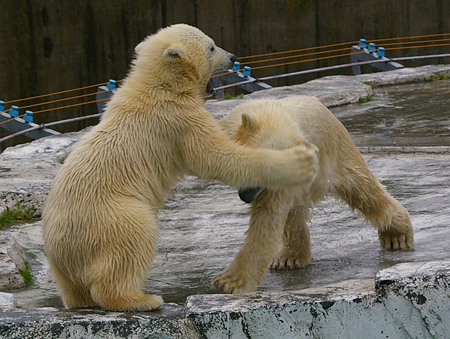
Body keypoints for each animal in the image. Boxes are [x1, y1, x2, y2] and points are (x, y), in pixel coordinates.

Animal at [41, 23, 316, 312]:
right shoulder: (177, 119)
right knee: (136, 237)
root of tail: (62, 250)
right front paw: (298, 162)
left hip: (63, 265)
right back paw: (142, 299)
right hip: (112, 216)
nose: (232, 57)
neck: (159, 85)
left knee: (74, 290)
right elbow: (217, 157)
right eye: (212, 46)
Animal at [213, 96, 414, 294]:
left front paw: (230, 282)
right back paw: (290, 258)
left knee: (364, 192)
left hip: (338, 154)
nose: (246, 196)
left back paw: (396, 236)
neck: (274, 116)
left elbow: (267, 216)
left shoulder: (287, 173)